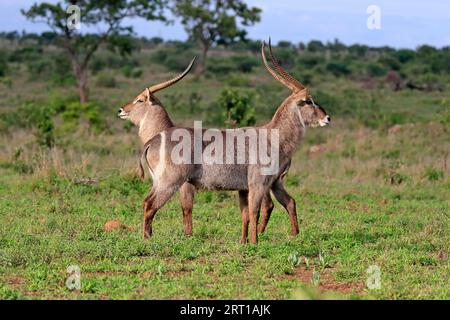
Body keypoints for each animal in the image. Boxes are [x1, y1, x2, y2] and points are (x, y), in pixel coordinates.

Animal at [124, 40, 330, 245]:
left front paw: (244, 242)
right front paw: (254, 243)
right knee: (149, 204)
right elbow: (253, 212)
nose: (327, 118)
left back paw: (295, 236)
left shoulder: (245, 188)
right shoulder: (257, 184)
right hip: (170, 182)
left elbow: (245, 214)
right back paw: (147, 239)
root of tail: (153, 140)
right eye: (309, 101)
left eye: (139, 100)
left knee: (289, 202)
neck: (273, 136)